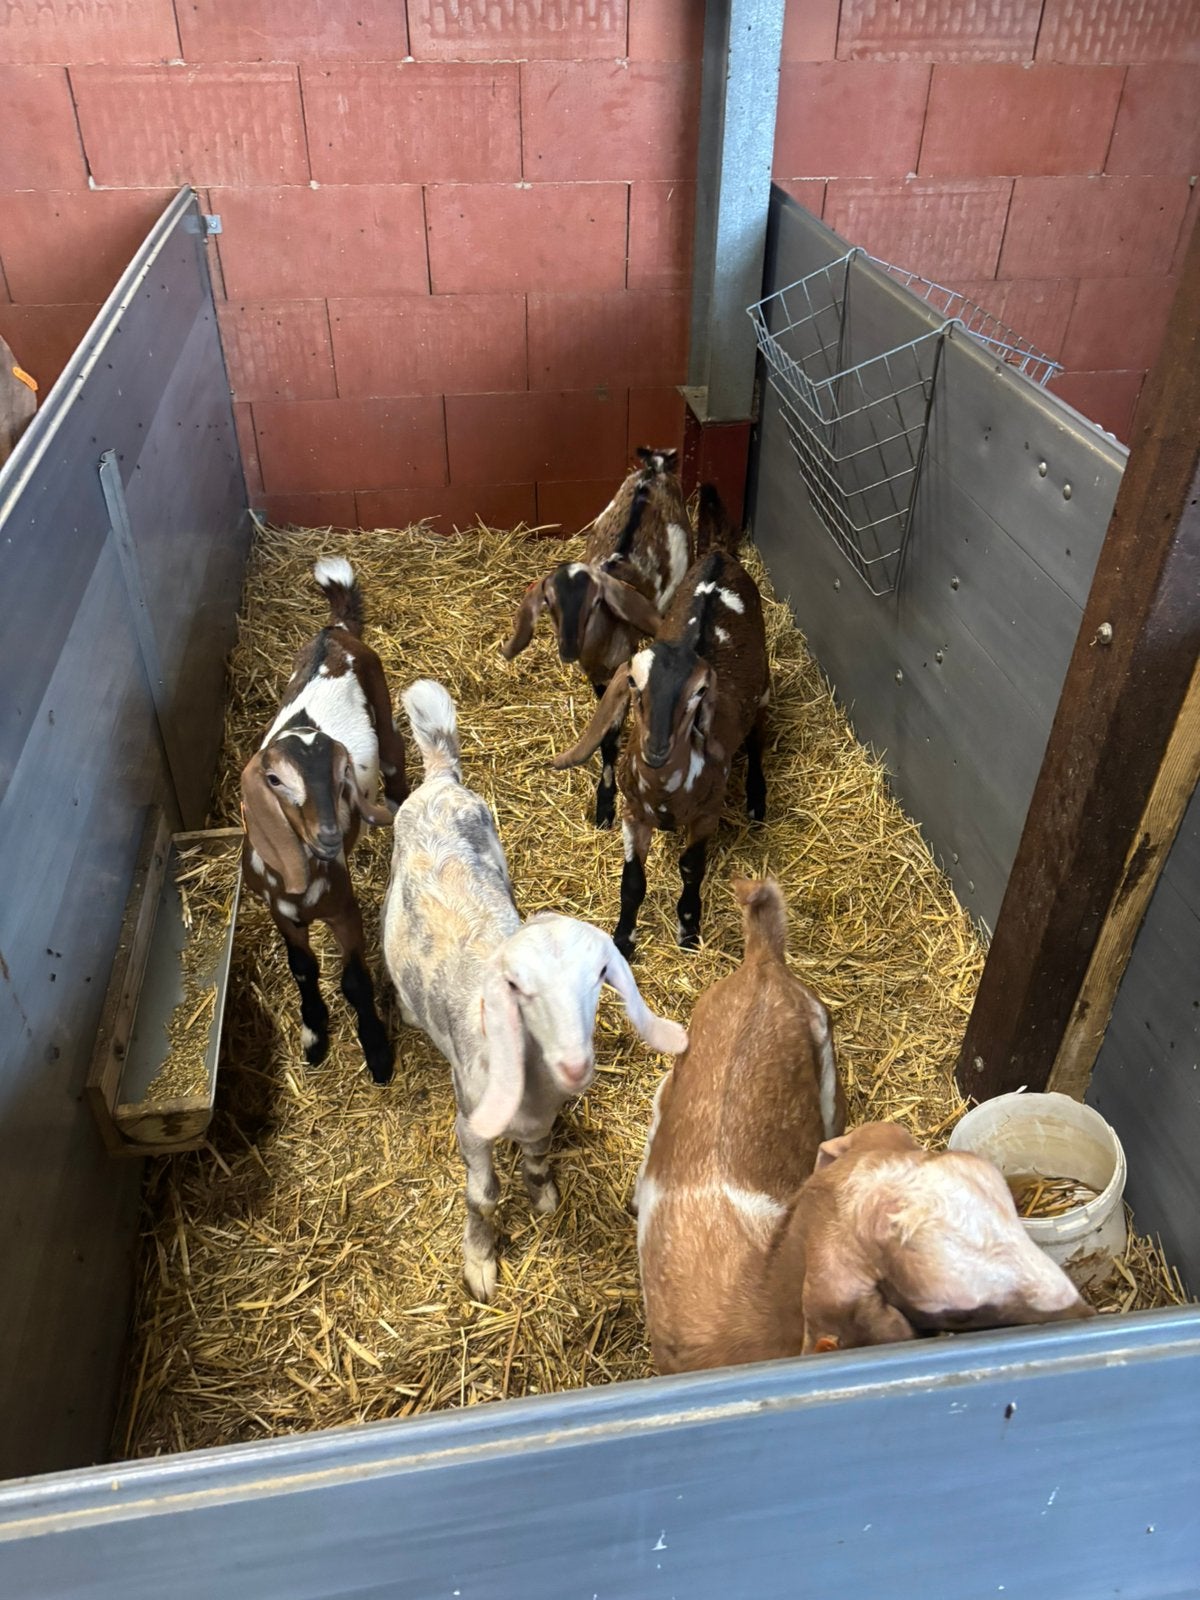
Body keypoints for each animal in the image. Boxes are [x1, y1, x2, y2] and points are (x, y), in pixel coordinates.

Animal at [240, 557, 408, 1085]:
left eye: (342, 777)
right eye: (274, 779)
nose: (330, 836)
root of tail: (333, 632)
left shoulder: (343, 907)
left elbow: (353, 978)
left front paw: (377, 1052)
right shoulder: (280, 911)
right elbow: (302, 967)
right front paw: (314, 1036)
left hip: (380, 696)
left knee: (396, 758)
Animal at [383, 678, 688, 1302]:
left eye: (600, 977)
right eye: (517, 987)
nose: (575, 1065)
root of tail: (440, 780)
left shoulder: (542, 1117)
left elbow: (541, 1156)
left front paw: (543, 1195)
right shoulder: (471, 1123)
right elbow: (481, 1195)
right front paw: (480, 1262)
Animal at [502, 447, 693, 828]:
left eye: (595, 604)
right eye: (550, 604)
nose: (567, 649)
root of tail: (654, 467)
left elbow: (610, 737)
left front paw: (605, 806)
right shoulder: (599, 677)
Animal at [552, 486, 770, 955]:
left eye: (700, 693)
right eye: (634, 683)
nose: (656, 747)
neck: (666, 790)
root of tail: (719, 553)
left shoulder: (706, 815)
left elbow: (691, 868)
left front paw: (689, 930)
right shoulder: (634, 815)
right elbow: (632, 880)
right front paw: (622, 939)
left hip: (763, 688)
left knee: (758, 740)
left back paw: (758, 799)